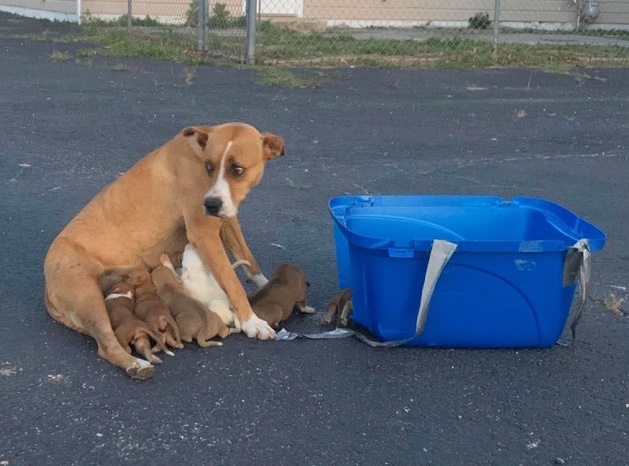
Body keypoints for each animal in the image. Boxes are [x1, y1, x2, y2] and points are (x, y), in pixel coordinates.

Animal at [45, 123, 286, 378]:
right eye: (209, 166)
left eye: (237, 169)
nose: (210, 205)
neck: (197, 152)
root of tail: (47, 288)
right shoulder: (204, 233)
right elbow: (232, 282)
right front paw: (252, 322)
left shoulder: (227, 220)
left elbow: (248, 259)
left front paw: (268, 286)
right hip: (88, 297)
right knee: (107, 343)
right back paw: (136, 364)